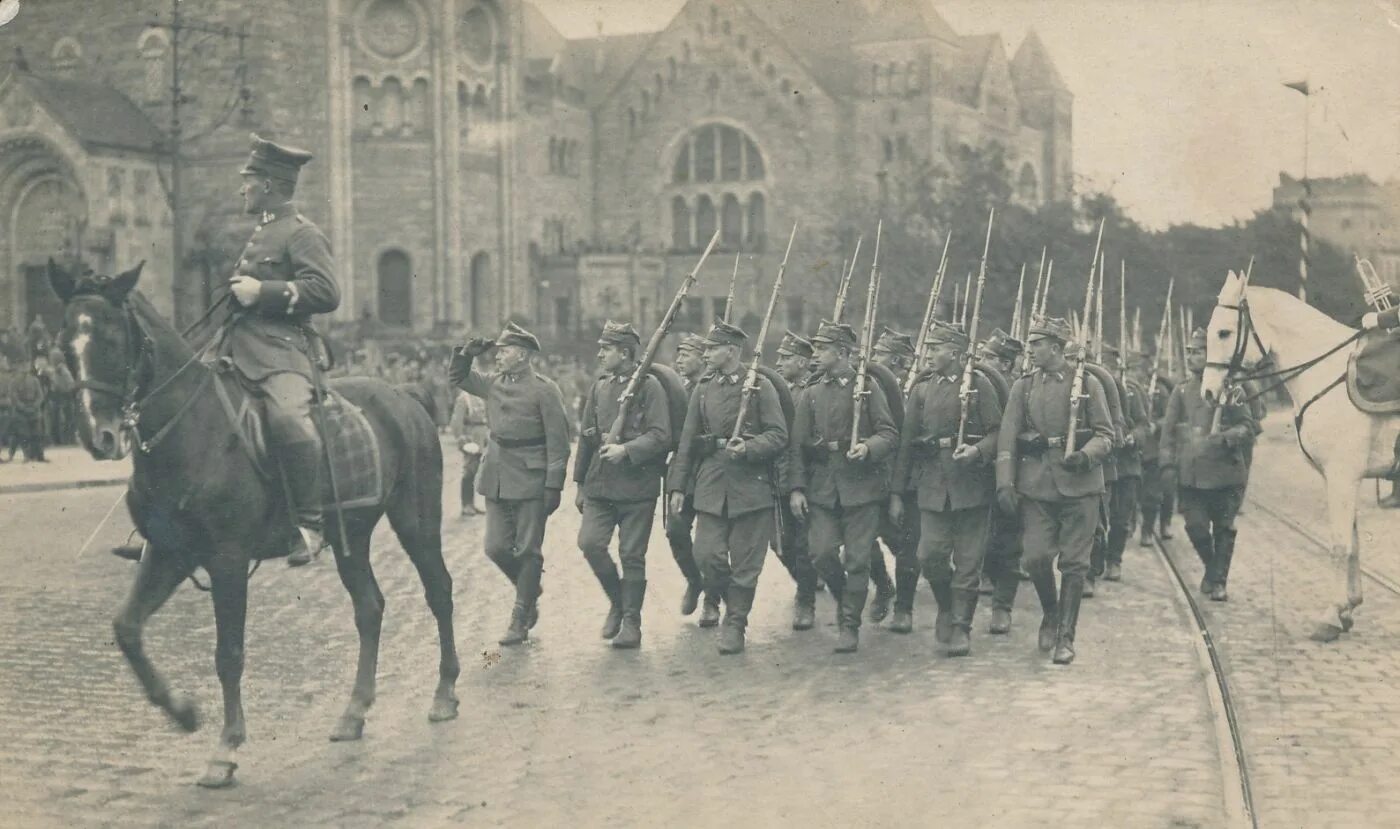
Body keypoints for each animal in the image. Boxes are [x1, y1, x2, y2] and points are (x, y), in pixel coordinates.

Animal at [50, 261, 459, 784]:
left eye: (111, 338)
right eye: (66, 343)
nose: (97, 437)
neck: (192, 430)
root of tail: (404, 395)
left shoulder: (227, 560)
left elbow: (229, 654)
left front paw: (225, 748)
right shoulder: (168, 553)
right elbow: (127, 629)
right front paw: (183, 711)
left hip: (416, 519)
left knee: (438, 590)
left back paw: (445, 694)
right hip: (351, 535)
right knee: (369, 607)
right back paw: (354, 712)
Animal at [1198, 271, 1394, 641]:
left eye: (1224, 332)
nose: (1207, 393)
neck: (1325, 370)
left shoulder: (1342, 476)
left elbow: (1339, 545)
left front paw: (1331, 616)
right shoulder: (1342, 478)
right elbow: (1353, 542)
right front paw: (1348, 608)